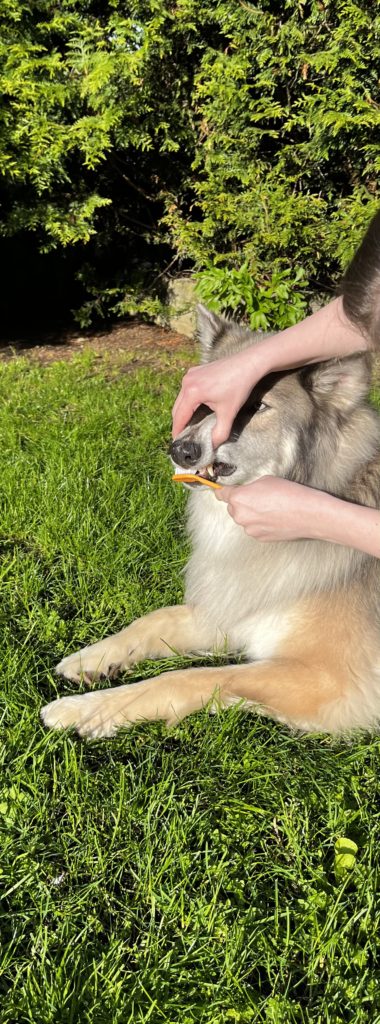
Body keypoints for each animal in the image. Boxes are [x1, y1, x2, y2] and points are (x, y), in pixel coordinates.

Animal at [40, 303, 380, 737]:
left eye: (257, 407)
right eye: (204, 404)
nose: (179, 450)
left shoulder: (329, 680)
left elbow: (186, 677)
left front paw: (88, 710)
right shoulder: (233, 605)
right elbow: (156, 620)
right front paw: (91, 660)